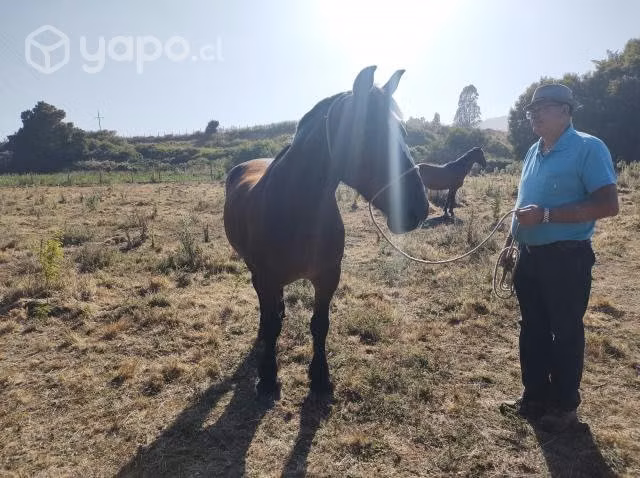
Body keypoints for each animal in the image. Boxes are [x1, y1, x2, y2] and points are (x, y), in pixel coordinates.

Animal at [223, 66, 429, 398]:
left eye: (403, 131)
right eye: (367, 132)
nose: (419, 208)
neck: (297, 207)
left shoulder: (328, 275)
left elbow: (320, 324)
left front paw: (320, 376)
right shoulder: (267, 276)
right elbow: (272, 325)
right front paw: (267, 376)